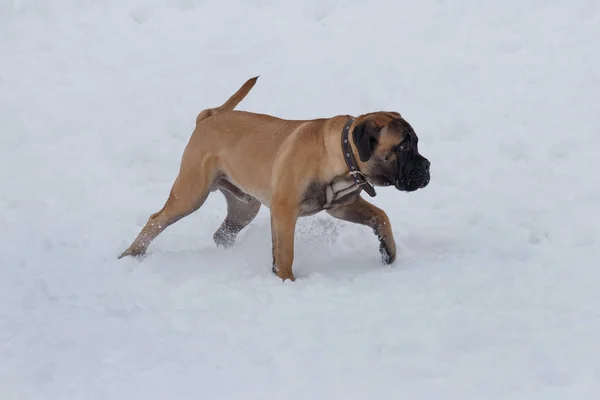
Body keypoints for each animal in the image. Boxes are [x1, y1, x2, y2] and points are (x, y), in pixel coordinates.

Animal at [119, 76, 432, 282]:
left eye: (415, 142)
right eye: (403, 146)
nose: (427, 167)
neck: (340, 155)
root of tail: (208, 117)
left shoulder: (342, 205)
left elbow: (381, 216)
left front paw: (388, 250)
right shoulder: (284, 211)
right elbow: (285, 253)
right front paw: (286, 282)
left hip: (244, 207)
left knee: (222, 234)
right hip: (190, 193)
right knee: (156, 220)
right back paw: (131, 255)